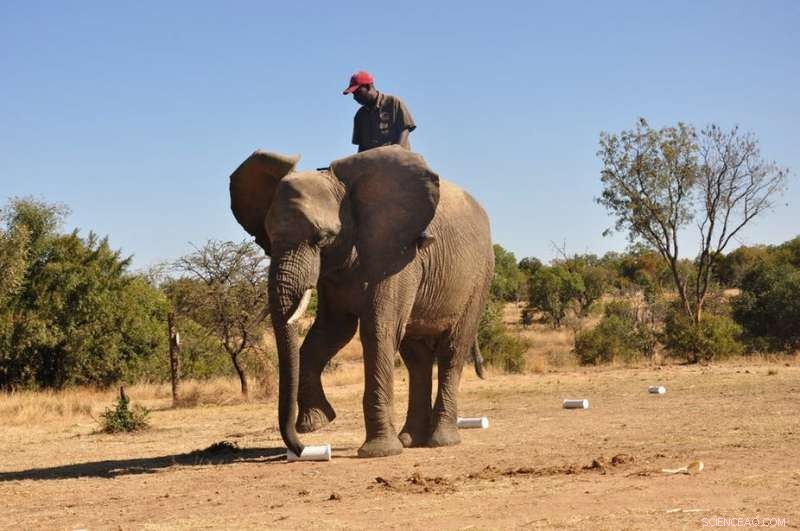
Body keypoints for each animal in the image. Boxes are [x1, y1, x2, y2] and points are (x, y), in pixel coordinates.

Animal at [229, 145, 494, 458]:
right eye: (268, 238)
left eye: (323, 239)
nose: (302, 447)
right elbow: (332, 331)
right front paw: (319, 422)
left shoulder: (397, 255)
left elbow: (378, 329)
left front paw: (379, 452)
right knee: (416, 359)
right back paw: (410, 440)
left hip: (479, 277)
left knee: (452, 350)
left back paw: (441, 441)